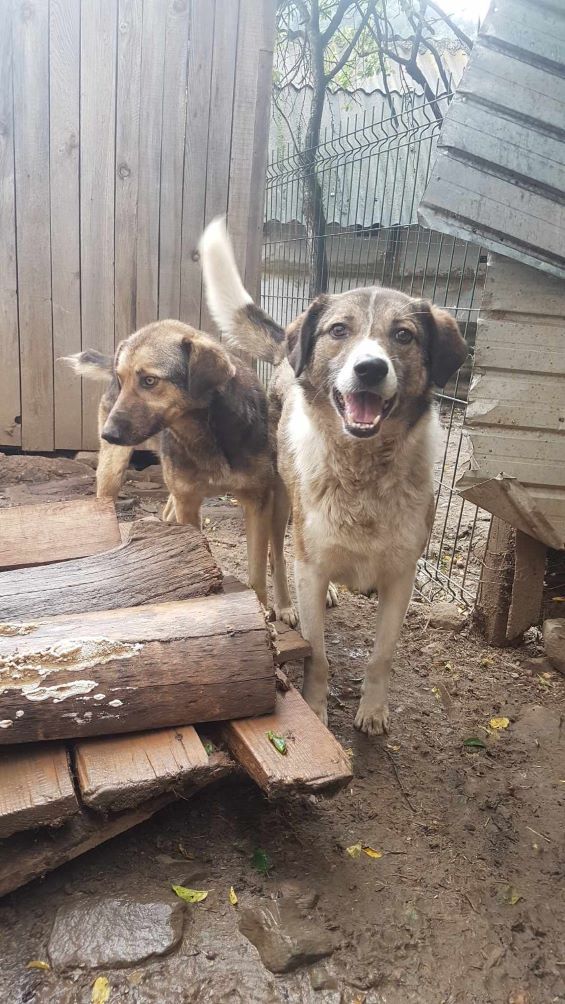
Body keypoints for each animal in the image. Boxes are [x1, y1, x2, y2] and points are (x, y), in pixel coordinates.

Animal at [64, 319, 276, 602]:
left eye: (149, 380)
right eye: (122, 380)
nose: (108, 434)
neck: (205, 434)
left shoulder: (257, 502)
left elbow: (257, 575)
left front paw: (264, 609)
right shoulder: (188, 502)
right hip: (113, 472)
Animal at [199, 219, 469, 738]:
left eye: (403, 335)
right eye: (338, 331)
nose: (370, 368)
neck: (362, 472)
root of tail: (286, 353)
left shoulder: (402, 576)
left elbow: (382, 656)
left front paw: (374, 711)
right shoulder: (312, 559)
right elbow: (318, 654)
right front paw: (318, 708)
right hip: (281, 500)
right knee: (277, 556)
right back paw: (284, 604)